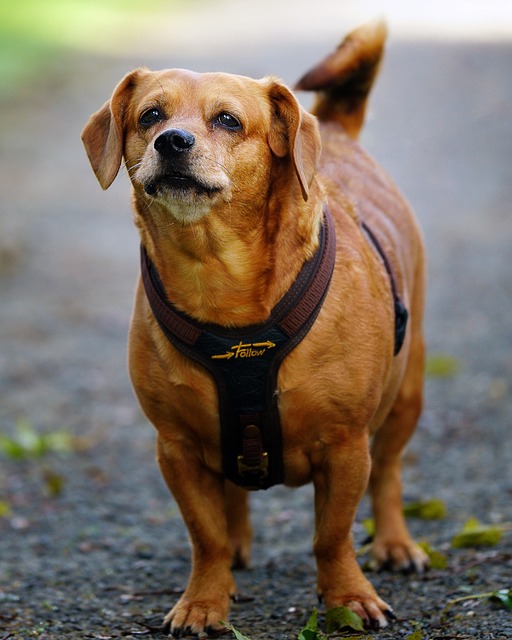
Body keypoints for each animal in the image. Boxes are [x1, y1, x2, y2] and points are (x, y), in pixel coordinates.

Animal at [82, 18, 428, 636]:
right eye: (150, 116)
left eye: (227, 120)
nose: (172, 141)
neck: (216, 277)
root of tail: (331, 130)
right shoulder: (176, 449)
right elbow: (207, 536)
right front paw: (205, 600)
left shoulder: (346, 445)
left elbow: (332, 536)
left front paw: (348, 598)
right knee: (233, 494)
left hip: (406, 394)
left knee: (388, 473)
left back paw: (394, 543)